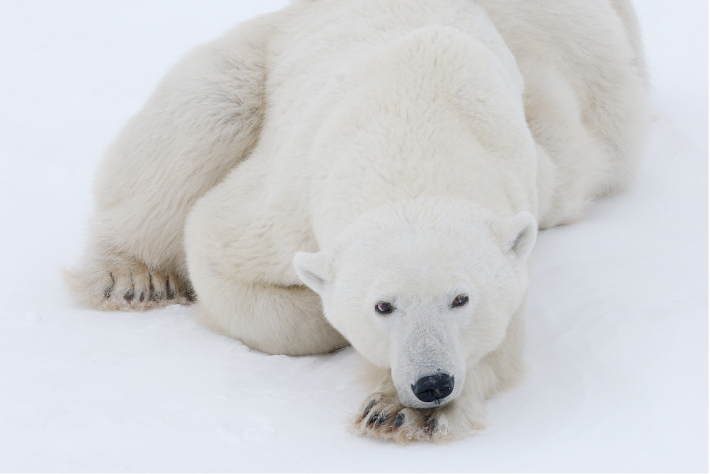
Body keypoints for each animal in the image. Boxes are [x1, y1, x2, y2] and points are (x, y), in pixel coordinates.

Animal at [65, 0, 649, 442]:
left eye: (461, 298)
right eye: (382, 305)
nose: (432, 383)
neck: (417, 115)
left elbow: (502, 338)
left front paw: (398, 410)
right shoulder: (288, 196)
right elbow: (217, 245)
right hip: (263, 50)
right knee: (204, 111)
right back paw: (131, 278)